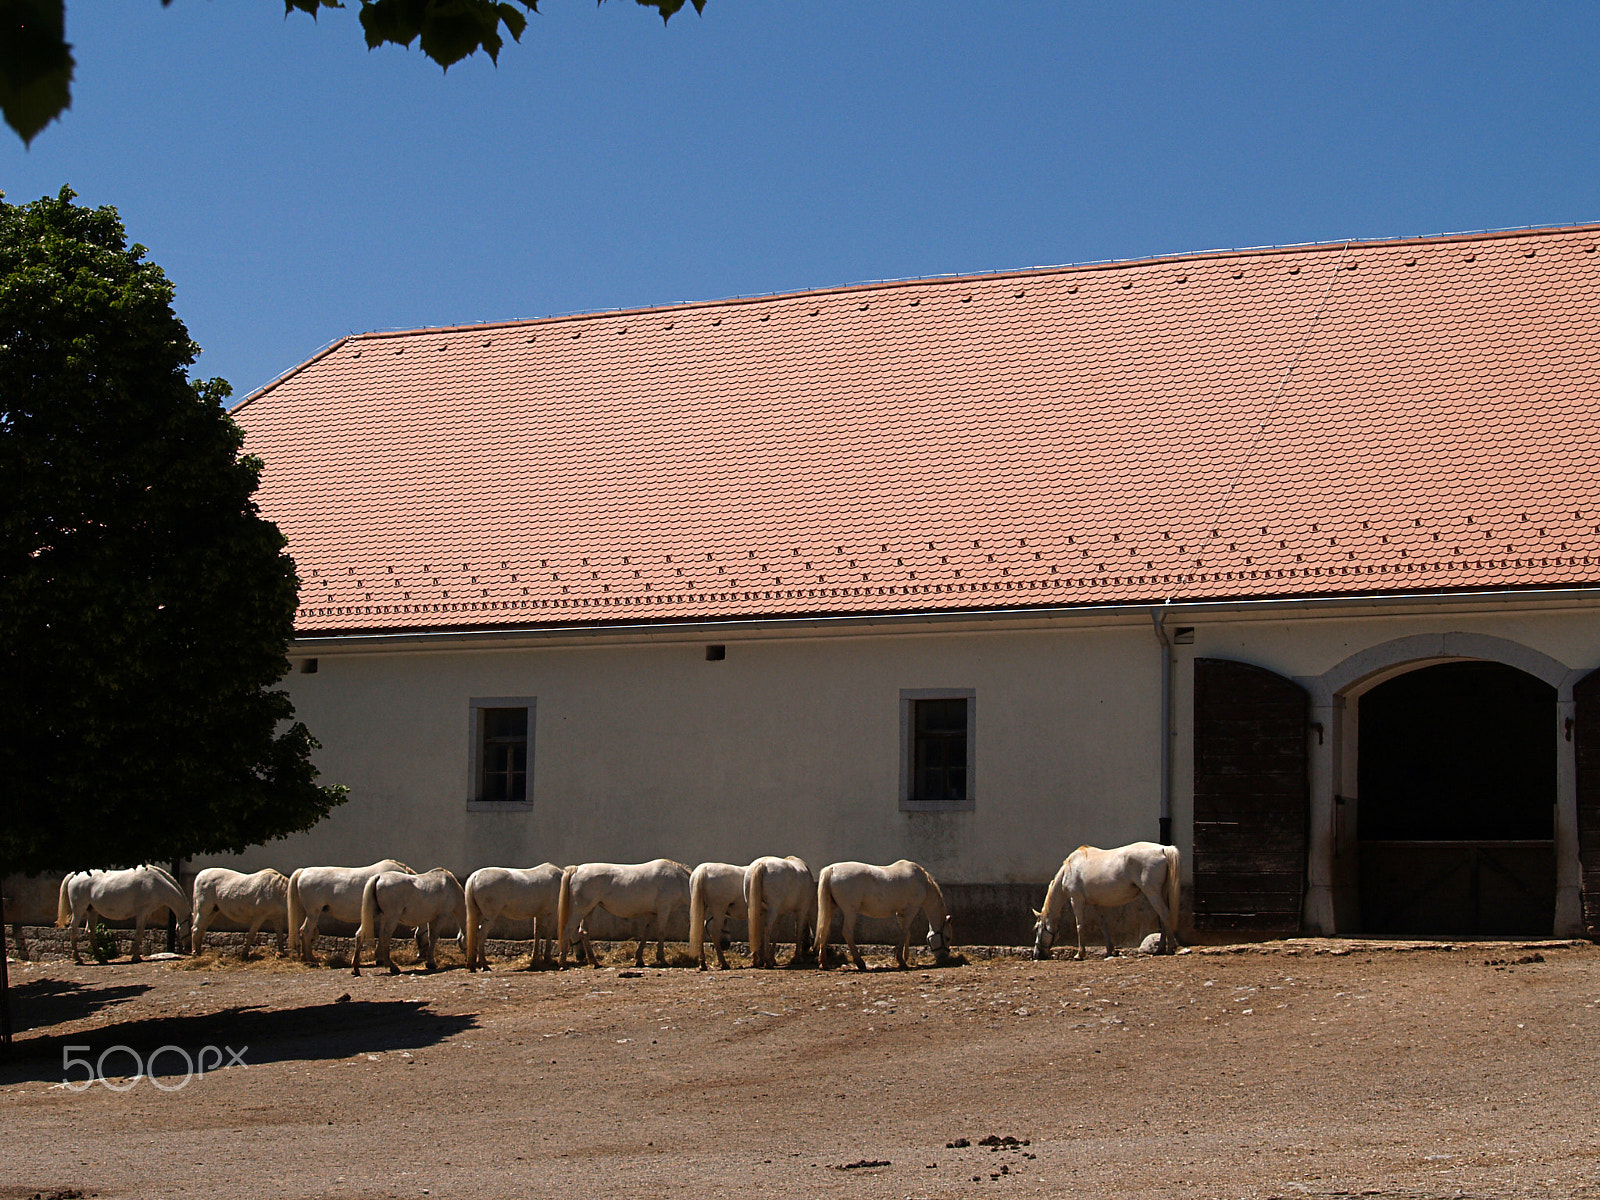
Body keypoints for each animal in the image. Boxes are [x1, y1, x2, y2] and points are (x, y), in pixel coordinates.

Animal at [56, 864, 190, 966]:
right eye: (189, 927)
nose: (187, 948)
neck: (156, 883)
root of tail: (75, 874)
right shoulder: (142, 912)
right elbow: (139, 932)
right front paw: (135, 957)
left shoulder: (146, 913)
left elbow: (140, 932)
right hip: (79, 910)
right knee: (73, 929)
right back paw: (78, 959)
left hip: (92, 911)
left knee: (90, 931)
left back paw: (101, 959)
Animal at [560, 857, 691, 972]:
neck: (678, 879)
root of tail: (577, 869)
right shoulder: (664, 909)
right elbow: (661, 933)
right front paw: (662, 959)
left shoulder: (652, 913)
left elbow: (645, 933)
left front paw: (639, 959)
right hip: (580, 909)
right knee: (568, 929)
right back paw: (563, 964)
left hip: (589, 909)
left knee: (584, 932)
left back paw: (595, 962)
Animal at [812, 857, 947, 972]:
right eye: (947, 937)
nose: (945, 958)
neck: (922, 881)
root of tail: (832, 869)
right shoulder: (911, 909)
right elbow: (904, 933)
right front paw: (901, 960)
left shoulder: (901, 913)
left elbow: (907, 933)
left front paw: (905, 957)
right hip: (850, 911)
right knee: (847, 932)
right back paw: (860, 963)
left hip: (831, 907)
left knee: (824, 930)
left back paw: (823, 963)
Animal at [1030, 844, 1184, 966]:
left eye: (1037, 928)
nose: (1037, 954)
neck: (1069, 869)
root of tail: (1163, 849)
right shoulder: (1097, 904)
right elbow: (1103, 925)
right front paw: (1110, 950)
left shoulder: (1076, 900)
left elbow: (1080, 926)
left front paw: (1080, 954)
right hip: (1161, 893)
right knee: (1163, 917)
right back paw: (1160, 949)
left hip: (1152, 892)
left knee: (1164, 913)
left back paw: (1170, 947)